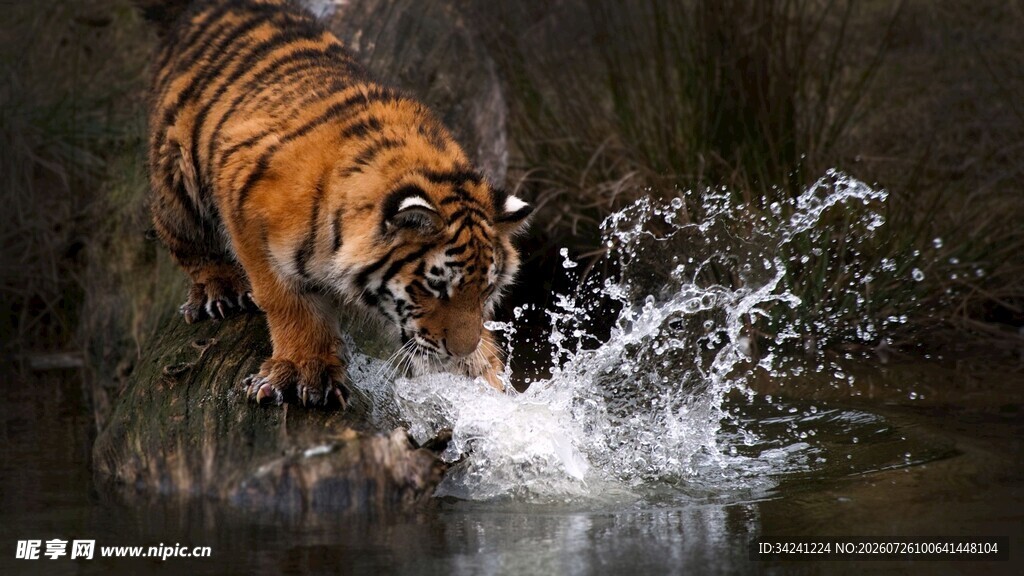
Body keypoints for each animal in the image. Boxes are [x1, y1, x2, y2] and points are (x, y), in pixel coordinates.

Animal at [139, 0, 532, 408]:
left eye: (486, 290)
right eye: (435, 288)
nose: (460, 349)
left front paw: (490, 381)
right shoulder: (249, 215)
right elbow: (288, 302)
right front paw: (303, 371)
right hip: (178, 176)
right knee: (183, 237)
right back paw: (219, 289)